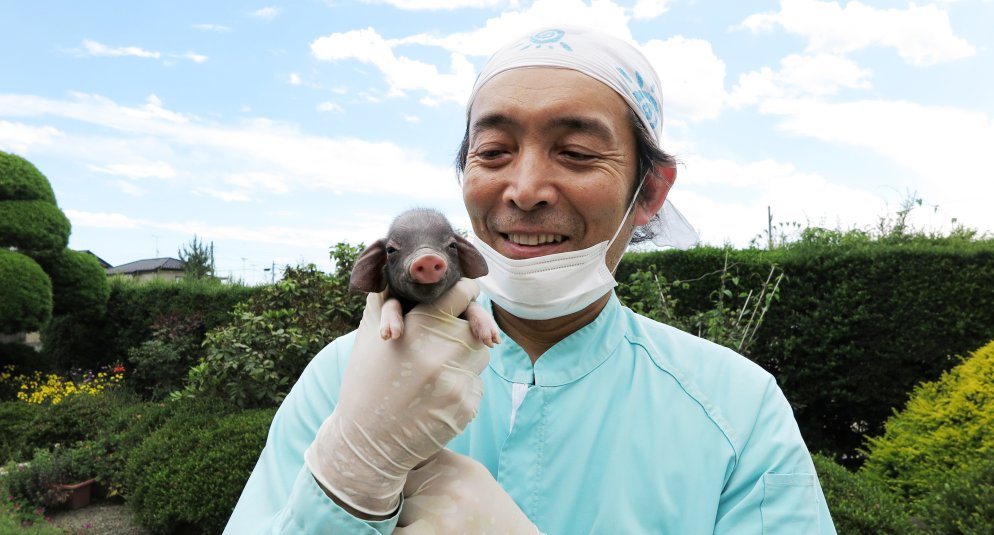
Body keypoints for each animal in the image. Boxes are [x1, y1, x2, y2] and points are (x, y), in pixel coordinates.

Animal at [349, 208, 501, 347]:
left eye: (453, 245)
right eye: (390, 250)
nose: (427, 258)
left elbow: (472, 304)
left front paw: (492, 338)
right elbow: (390, 302)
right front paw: (390, 334)